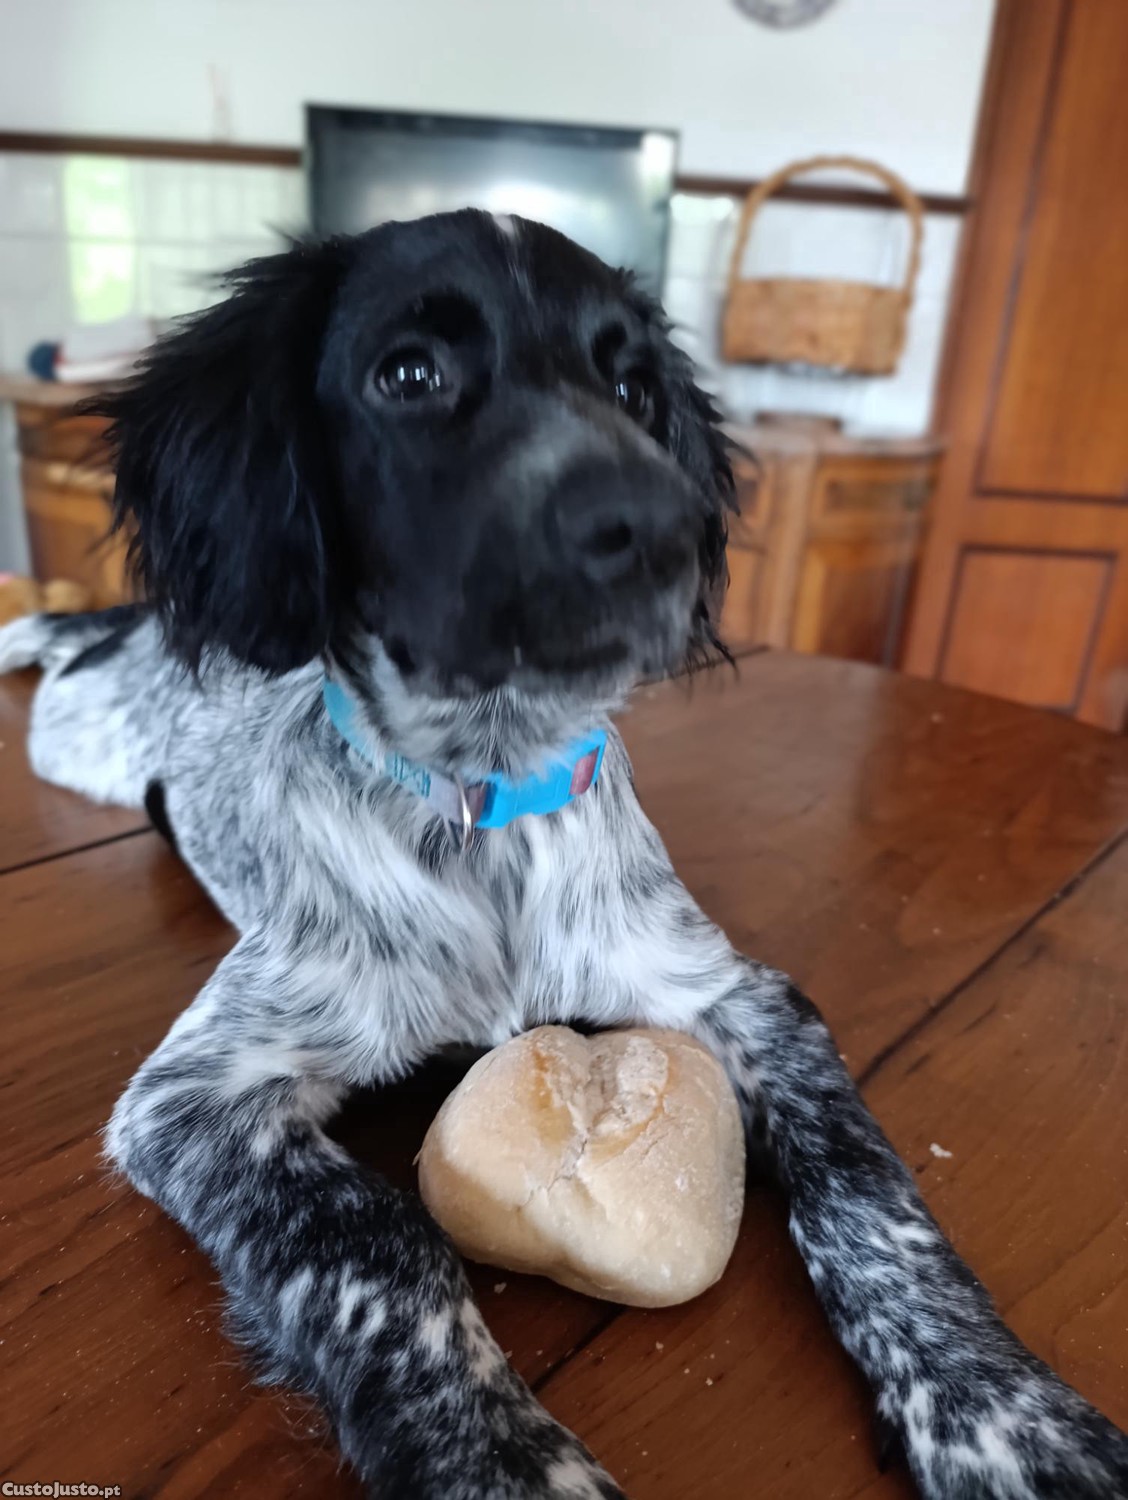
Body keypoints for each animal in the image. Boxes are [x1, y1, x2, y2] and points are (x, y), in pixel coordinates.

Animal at [1, 211, 1124, 1500]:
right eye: (409, 374)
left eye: (634, 388)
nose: (664, 531)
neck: (487, 797)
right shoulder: (194, 1096)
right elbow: (379, 1240)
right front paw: (498, 1458)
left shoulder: (741, 997)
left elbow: (869, 1188)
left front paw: (1003, 1411)